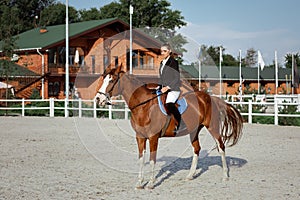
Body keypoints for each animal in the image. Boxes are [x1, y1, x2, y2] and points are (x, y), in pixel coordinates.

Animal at [95, 64, 243, 189]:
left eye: (112, 80)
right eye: (103, 79)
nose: (98, 99)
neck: (144, 106)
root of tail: (210, 97)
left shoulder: (153, 137)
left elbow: (152, 159)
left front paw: (151, 183)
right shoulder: (140, 137)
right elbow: (141, 159)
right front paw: (139, 183)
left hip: (212, 127)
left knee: (221, 147)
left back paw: (225, 176)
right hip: (194, 130)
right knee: (197, 149)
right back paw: (190, 176)